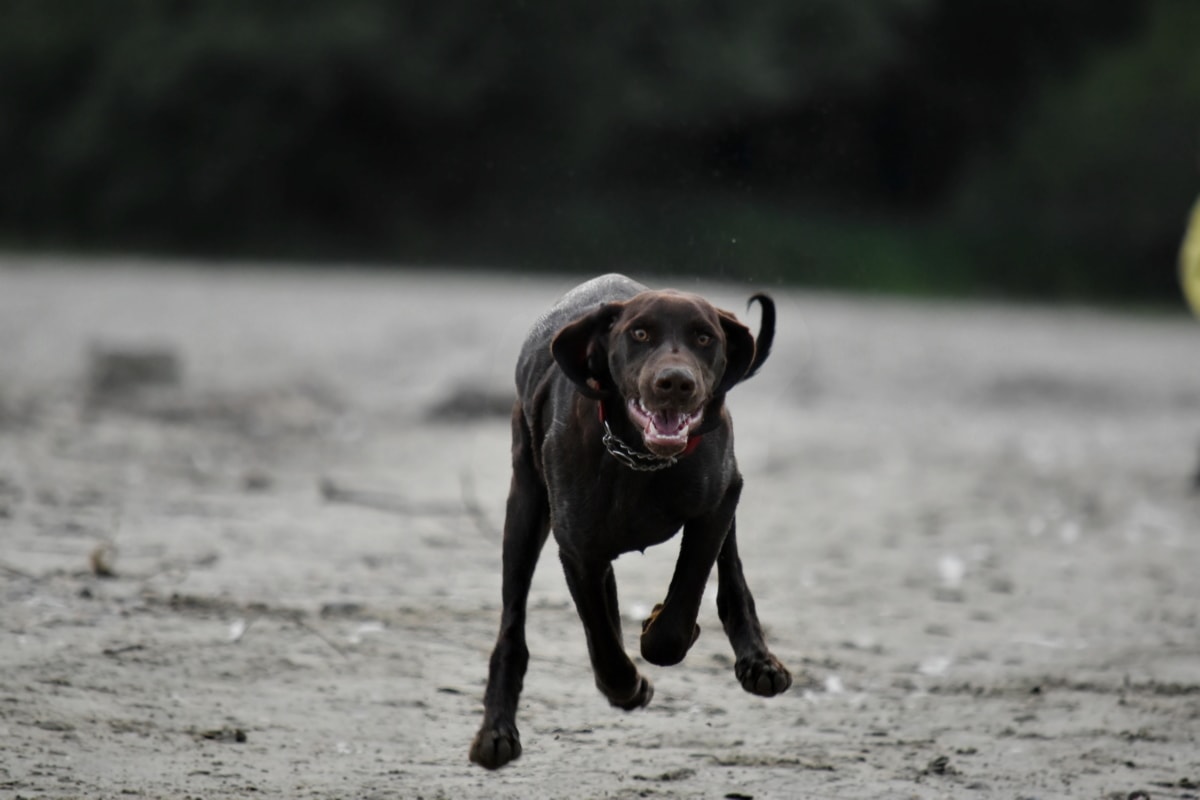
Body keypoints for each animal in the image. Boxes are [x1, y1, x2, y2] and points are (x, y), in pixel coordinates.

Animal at [470, 273, 796, 767]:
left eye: (704, 337)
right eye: (639, 333)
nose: (675, 383)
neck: (639, 458)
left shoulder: (716, 504)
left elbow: (680, 608)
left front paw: (662, 627)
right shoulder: (578, 550)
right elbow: (603, 640)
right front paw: (628, 686)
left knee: (732, 575)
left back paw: (758, 662)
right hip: (524, 511)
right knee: (516, 625)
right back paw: (496, 732)